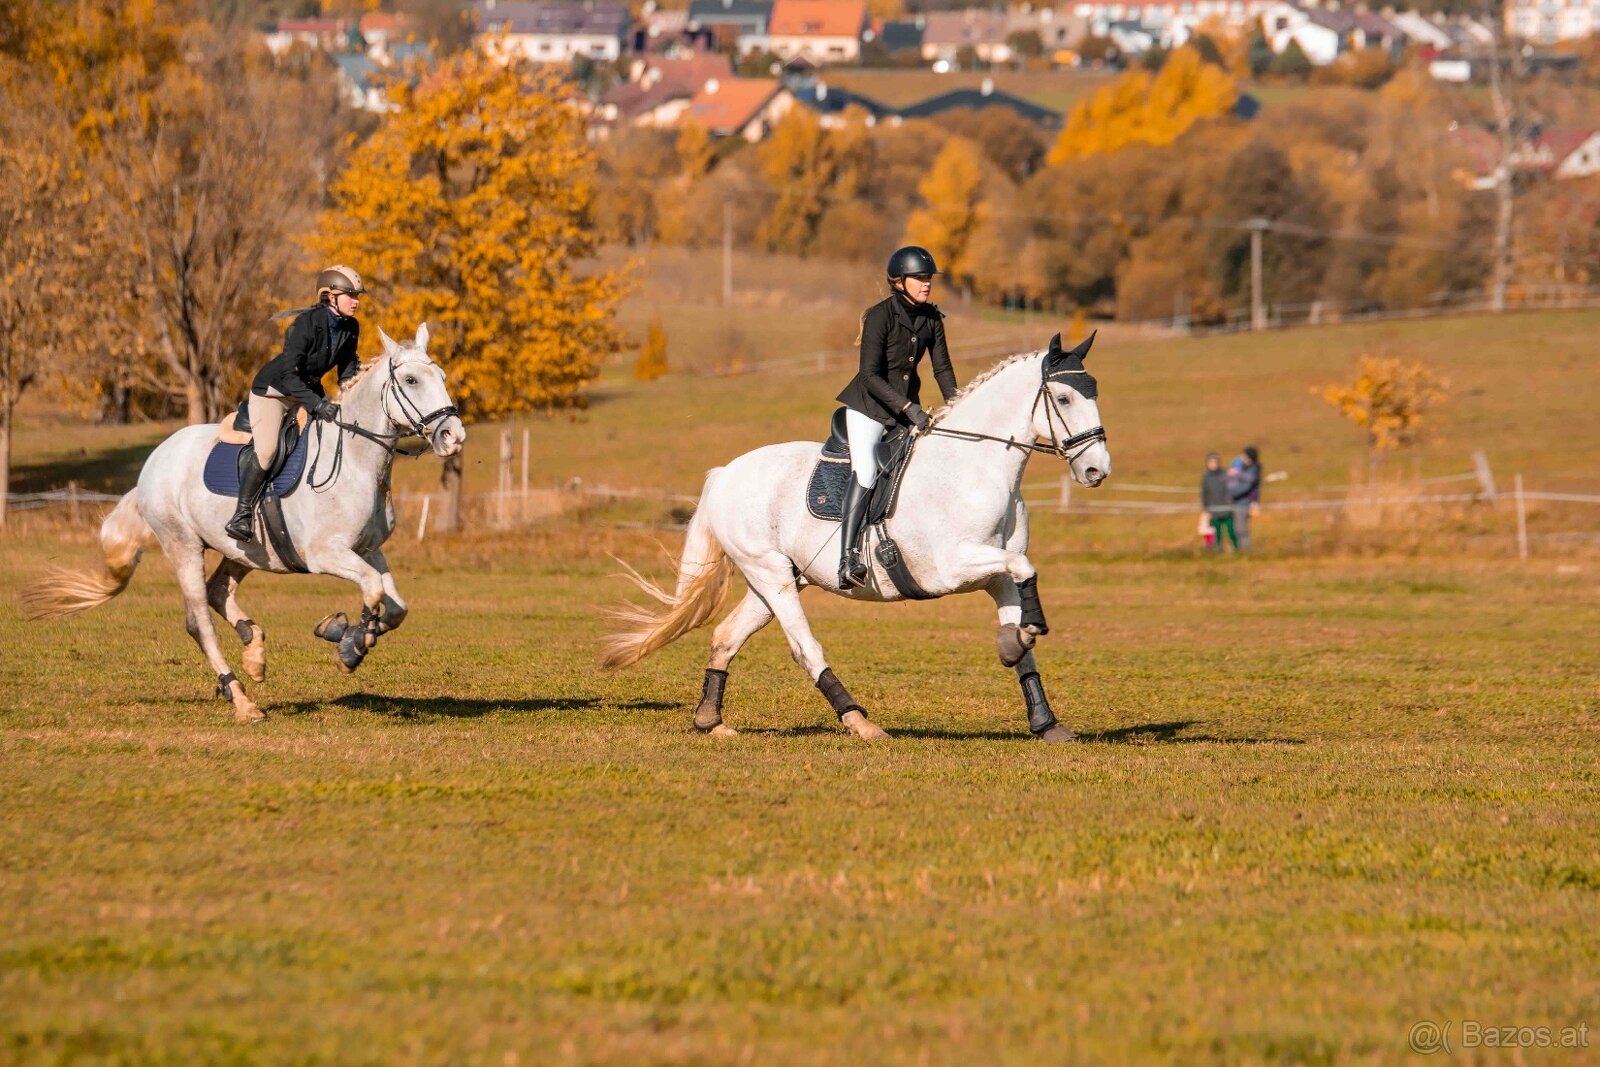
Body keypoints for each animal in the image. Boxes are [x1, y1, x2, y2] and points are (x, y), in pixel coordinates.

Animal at [22, 323, 465, 723]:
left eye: (442, 377)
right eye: (411, 379)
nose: (453, 436)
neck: (356, 462)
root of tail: (155, 460)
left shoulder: (368, 550)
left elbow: (395, 608)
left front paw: (346, 636)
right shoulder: (327, 554)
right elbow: (373, 592)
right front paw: (349, 643)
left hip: (243, 549)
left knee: (218, 592)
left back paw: (254, 651)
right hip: (183, 545)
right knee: (198, 621)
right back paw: (241, 699)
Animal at [600, 332, 1110, 742]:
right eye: (1064, 399)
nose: (1096, 471)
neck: (975, 468)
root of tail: (725, 473)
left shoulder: (996, 574)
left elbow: (1021, 625)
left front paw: (1043, 715)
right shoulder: (953, 566)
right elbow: (1026, 573)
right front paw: (1027, 633)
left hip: (776, 578)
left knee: (726, 636)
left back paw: (711, 720)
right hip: (770, 574)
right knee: (805, 649)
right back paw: (860, 722)